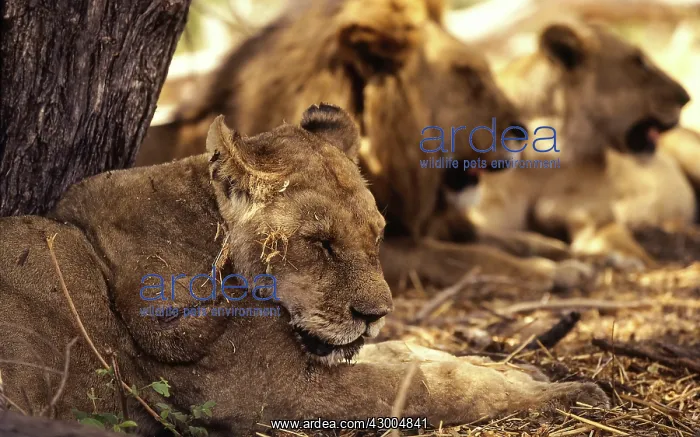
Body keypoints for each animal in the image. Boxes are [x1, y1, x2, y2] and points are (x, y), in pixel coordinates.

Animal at [0, 105, 608, 435]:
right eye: (319, 244)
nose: (375, 313)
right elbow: (428, 387)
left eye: (376, 236)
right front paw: (565, 390)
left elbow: (407, 354)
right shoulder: (272, 392)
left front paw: (514, 368)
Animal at [135, 0, 598, 291]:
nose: (523, 132)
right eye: (469, 77)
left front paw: (568, 253)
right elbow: (460, 257)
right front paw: (551, 272)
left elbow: (490, 237)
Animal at [466, 22, 695, 268]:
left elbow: (621, 242)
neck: (549, 153)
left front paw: (631, 259)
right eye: (639, 62)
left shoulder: (594, 219)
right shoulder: (489, 218)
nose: (687, 98)